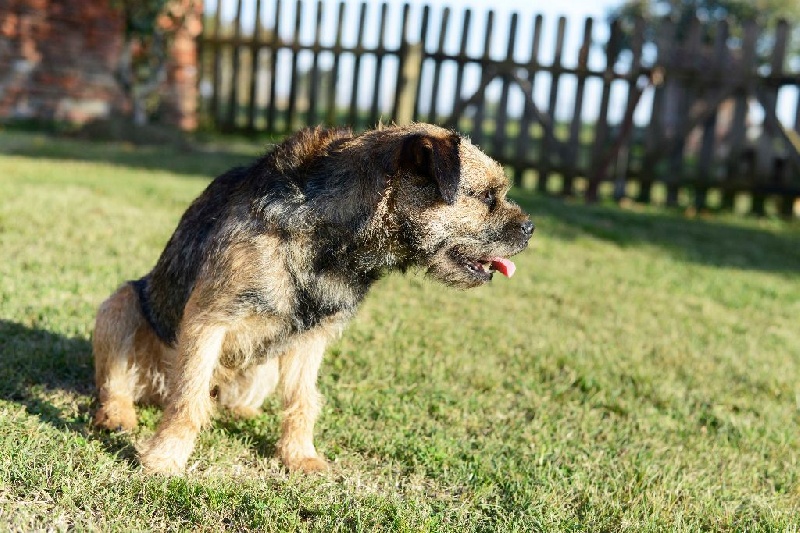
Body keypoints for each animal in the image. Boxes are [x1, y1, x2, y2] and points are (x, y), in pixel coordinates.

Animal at [92, 123, 532, 474]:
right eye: (487, 196)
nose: (530, 228)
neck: (330, 238)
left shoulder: (309, 338)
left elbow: (303, 400)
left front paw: (299, 455)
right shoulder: (208, 320)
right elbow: (187, 397)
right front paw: (165, 458)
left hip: (265, 365)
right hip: (119, 304)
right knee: (119, 383)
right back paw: (119, 415)